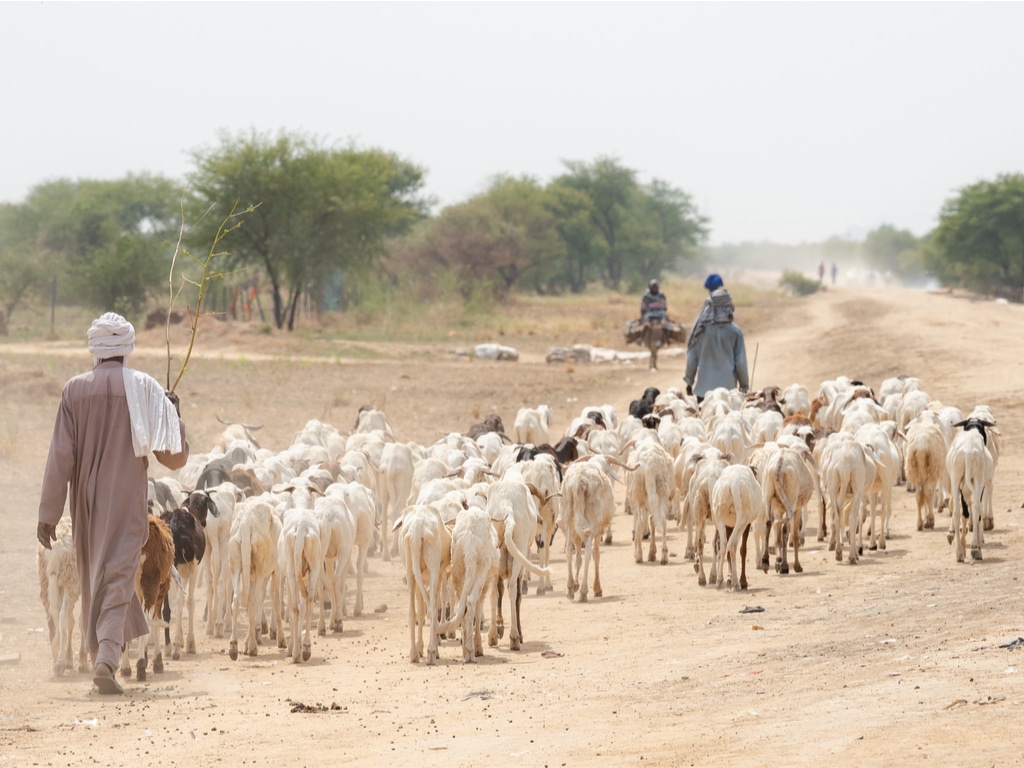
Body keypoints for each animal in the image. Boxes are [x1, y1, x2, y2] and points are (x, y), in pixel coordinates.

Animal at [37, 520, 88, 675]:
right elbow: (80, 620)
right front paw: (82, 662)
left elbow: (73, 621)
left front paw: (70, 659)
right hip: (70, 581)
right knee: (62, 618)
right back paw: (60, 663)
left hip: (47, 581)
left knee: (52, 620)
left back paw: (56, 661)